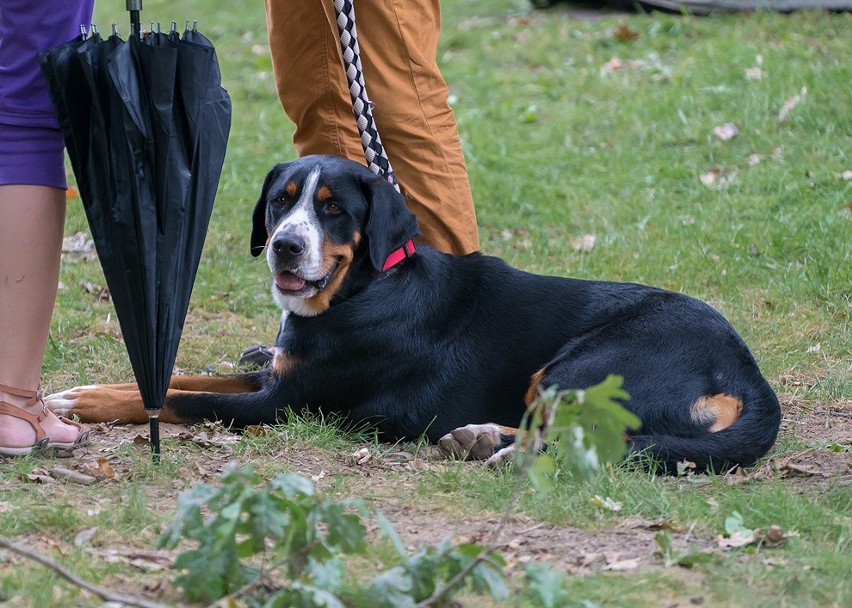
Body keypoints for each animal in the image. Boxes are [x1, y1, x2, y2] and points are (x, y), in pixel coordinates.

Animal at [45, 154, 780, 472]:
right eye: (282, 201)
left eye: (334, 209)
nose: (286, 246)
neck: (365, 290)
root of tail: (746, 373)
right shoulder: (277, 372)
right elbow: (182, 377)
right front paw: (81, 393)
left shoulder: (282, 401)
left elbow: (179, 396)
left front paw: (83, 403)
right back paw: (478, 437)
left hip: (579, 365)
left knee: (583, 439)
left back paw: (493, 450)